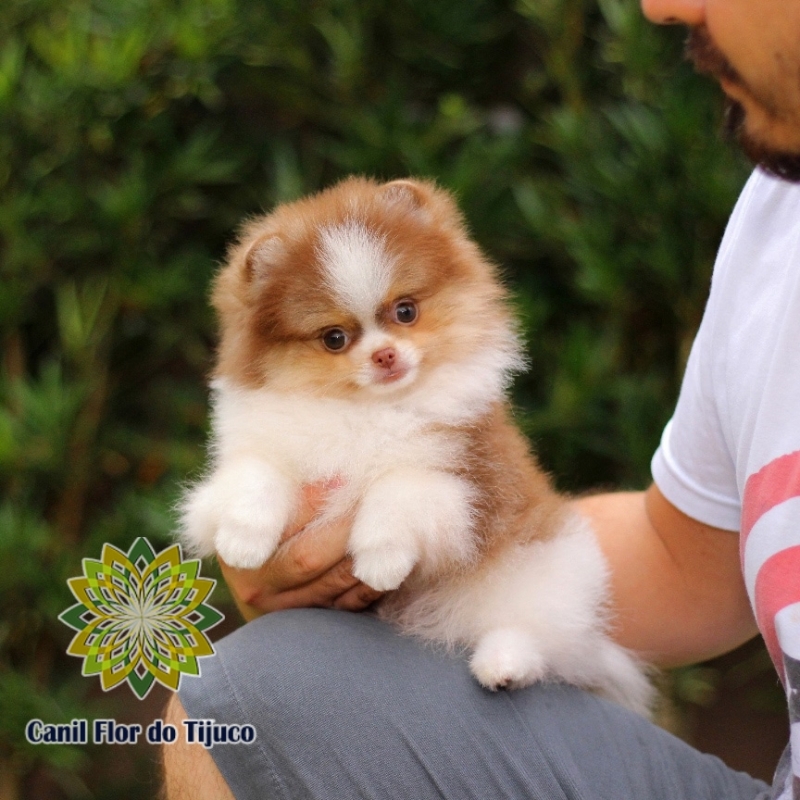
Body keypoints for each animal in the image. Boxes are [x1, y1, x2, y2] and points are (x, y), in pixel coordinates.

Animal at [184, 177, 652, 712]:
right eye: (334, 338)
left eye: (405, 310)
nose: (385, 354)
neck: (366, 410)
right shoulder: (261, 450)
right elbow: (254, 476)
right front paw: (243, 540)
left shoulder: (464, 484)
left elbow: (397, 487)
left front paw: (380, 558)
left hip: (555, 569)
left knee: (539, 635)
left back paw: (504, 664)